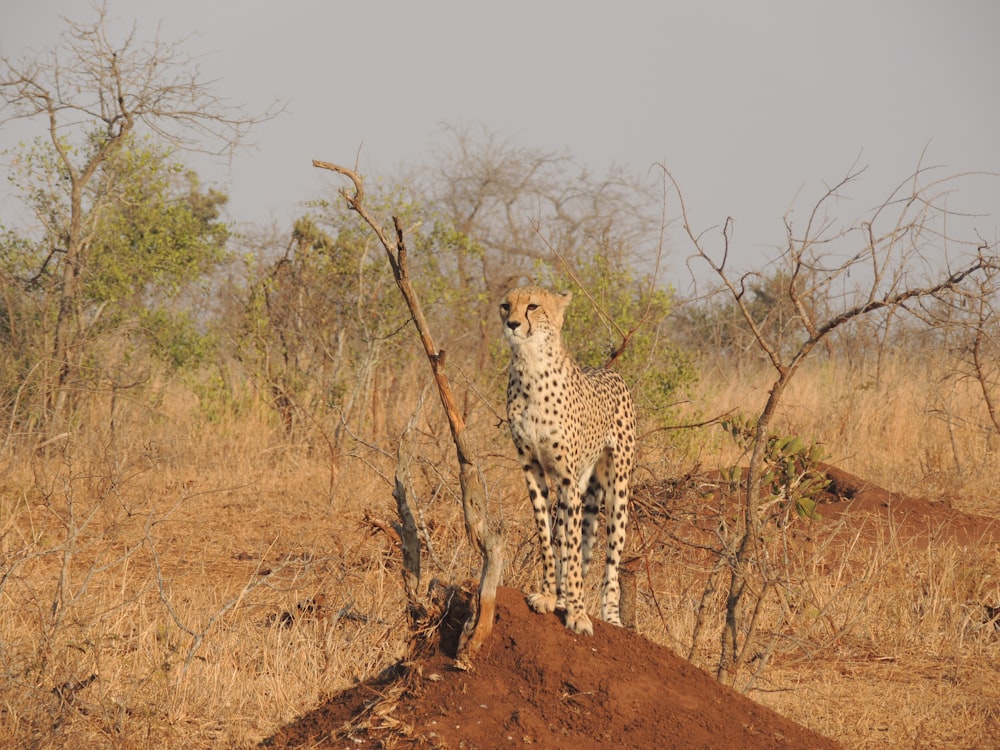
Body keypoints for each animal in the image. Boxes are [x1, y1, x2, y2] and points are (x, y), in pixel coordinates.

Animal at [498, 284, 636, 636]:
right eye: (506, 305)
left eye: (533, 306)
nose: (513, 324)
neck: (531, 366)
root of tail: (610, 370)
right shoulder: (533, 469)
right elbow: (549, 539)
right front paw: (549, 595)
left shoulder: (566, 478)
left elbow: (571, 550)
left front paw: (577, 614)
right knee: (572, 534)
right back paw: (561, 596)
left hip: (617, 487)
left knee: (611, 557)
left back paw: (611, 616)